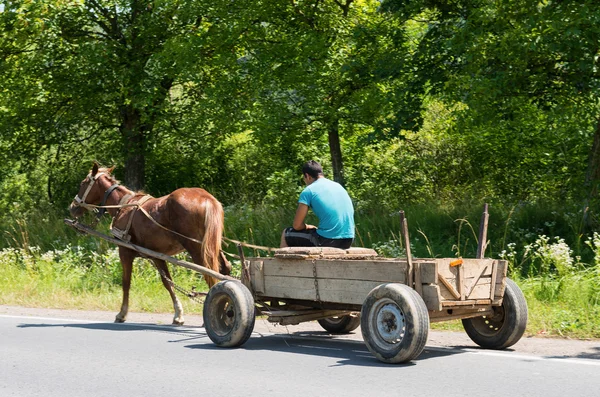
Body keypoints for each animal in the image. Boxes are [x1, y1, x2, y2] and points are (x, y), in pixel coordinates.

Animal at [68, 162, 231, 324]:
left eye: (83, 183)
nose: (72, 207)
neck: (122, 206)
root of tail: (206, 198)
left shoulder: (125, 252)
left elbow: (126, 282)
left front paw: (122, 313)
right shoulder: (157, 255)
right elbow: (168, 283)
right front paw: (178, 314)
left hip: (196, 248)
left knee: (210, 273)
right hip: (212, 245)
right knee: (225, 268)